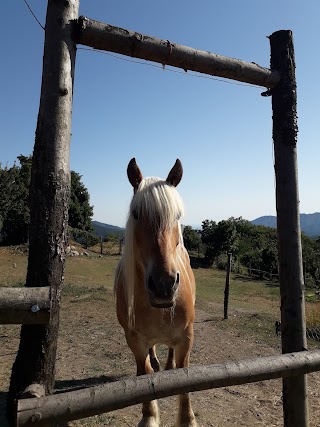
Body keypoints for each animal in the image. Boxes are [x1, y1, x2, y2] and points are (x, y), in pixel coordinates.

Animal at [114, 158, 196, 427]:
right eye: (136, 214)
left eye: (177, 216)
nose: (164, 284)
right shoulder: (134, 340)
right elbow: (145, 373)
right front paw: (150, 416)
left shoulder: (186, 337)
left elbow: (185, 376)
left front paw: (187, 419)